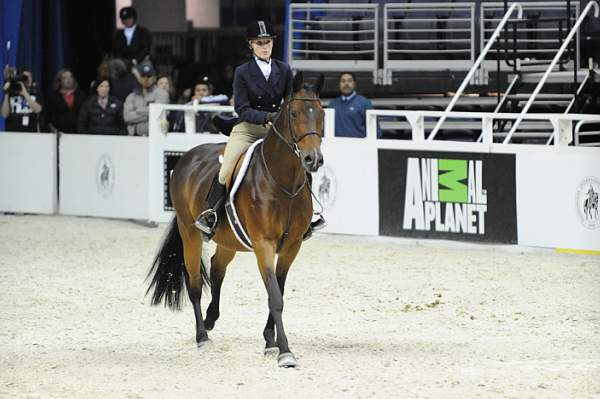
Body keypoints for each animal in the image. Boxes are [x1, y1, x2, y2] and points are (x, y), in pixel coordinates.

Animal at [145, 72, 324, 368]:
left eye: (321, 113)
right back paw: (202, 336)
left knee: (217, 268)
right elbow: (275, 297)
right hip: (190, 234)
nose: (313, 159)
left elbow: (278, 291)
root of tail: (187, 158)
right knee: (195, 285)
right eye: (294, 113)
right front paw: (285, 351)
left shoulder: (291, 246)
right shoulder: (264, 245)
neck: (282, 181)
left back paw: (210, 318)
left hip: (229, 240)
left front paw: (270, 341)